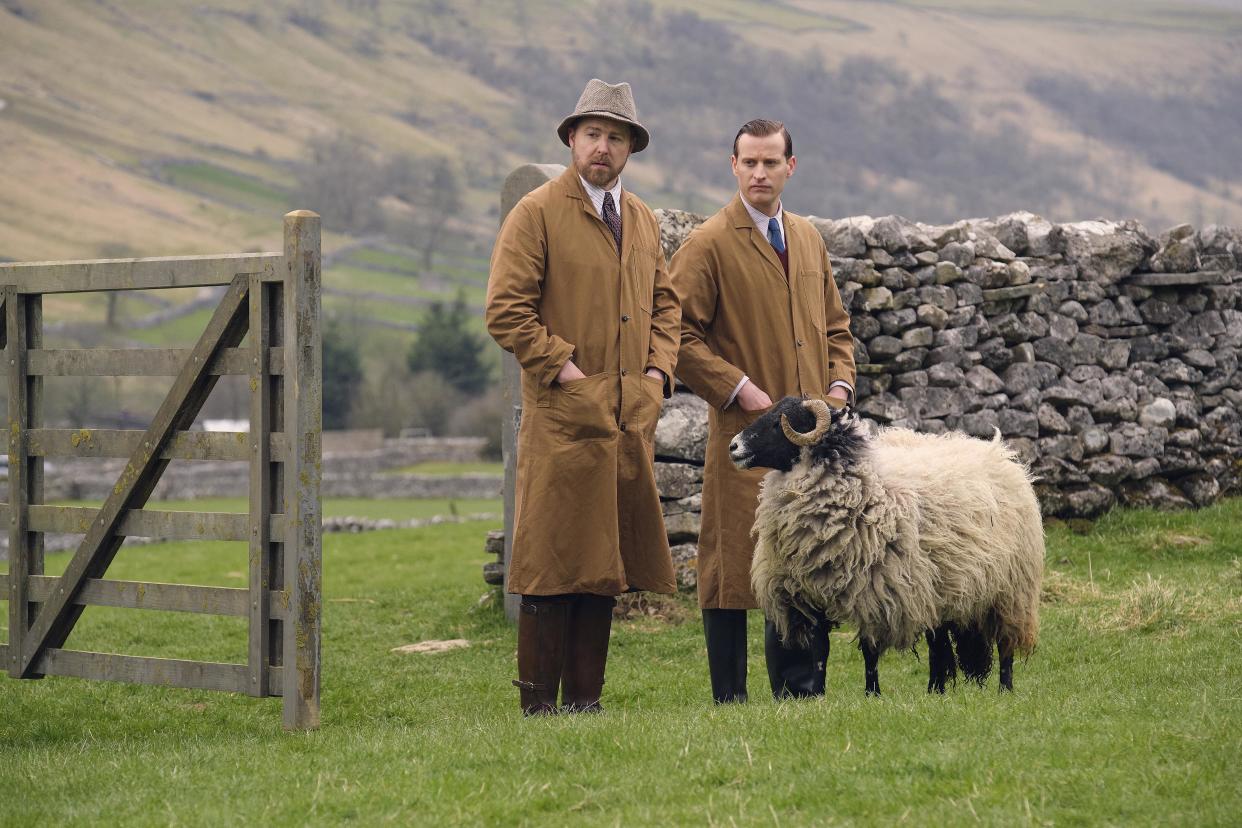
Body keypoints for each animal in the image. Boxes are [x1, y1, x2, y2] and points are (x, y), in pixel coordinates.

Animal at [730, 397, 1043, 695]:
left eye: (779, 423)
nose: (733, 446)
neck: (864, 485)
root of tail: (998, 451)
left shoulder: (876, 589)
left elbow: (869, 652)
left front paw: (872, 694)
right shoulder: (804, 592)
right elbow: (817, 649)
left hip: (1010, 589)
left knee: (1004, 643)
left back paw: (1004, 688)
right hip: (941, 583)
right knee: (938, 641)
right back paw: (936, 690)